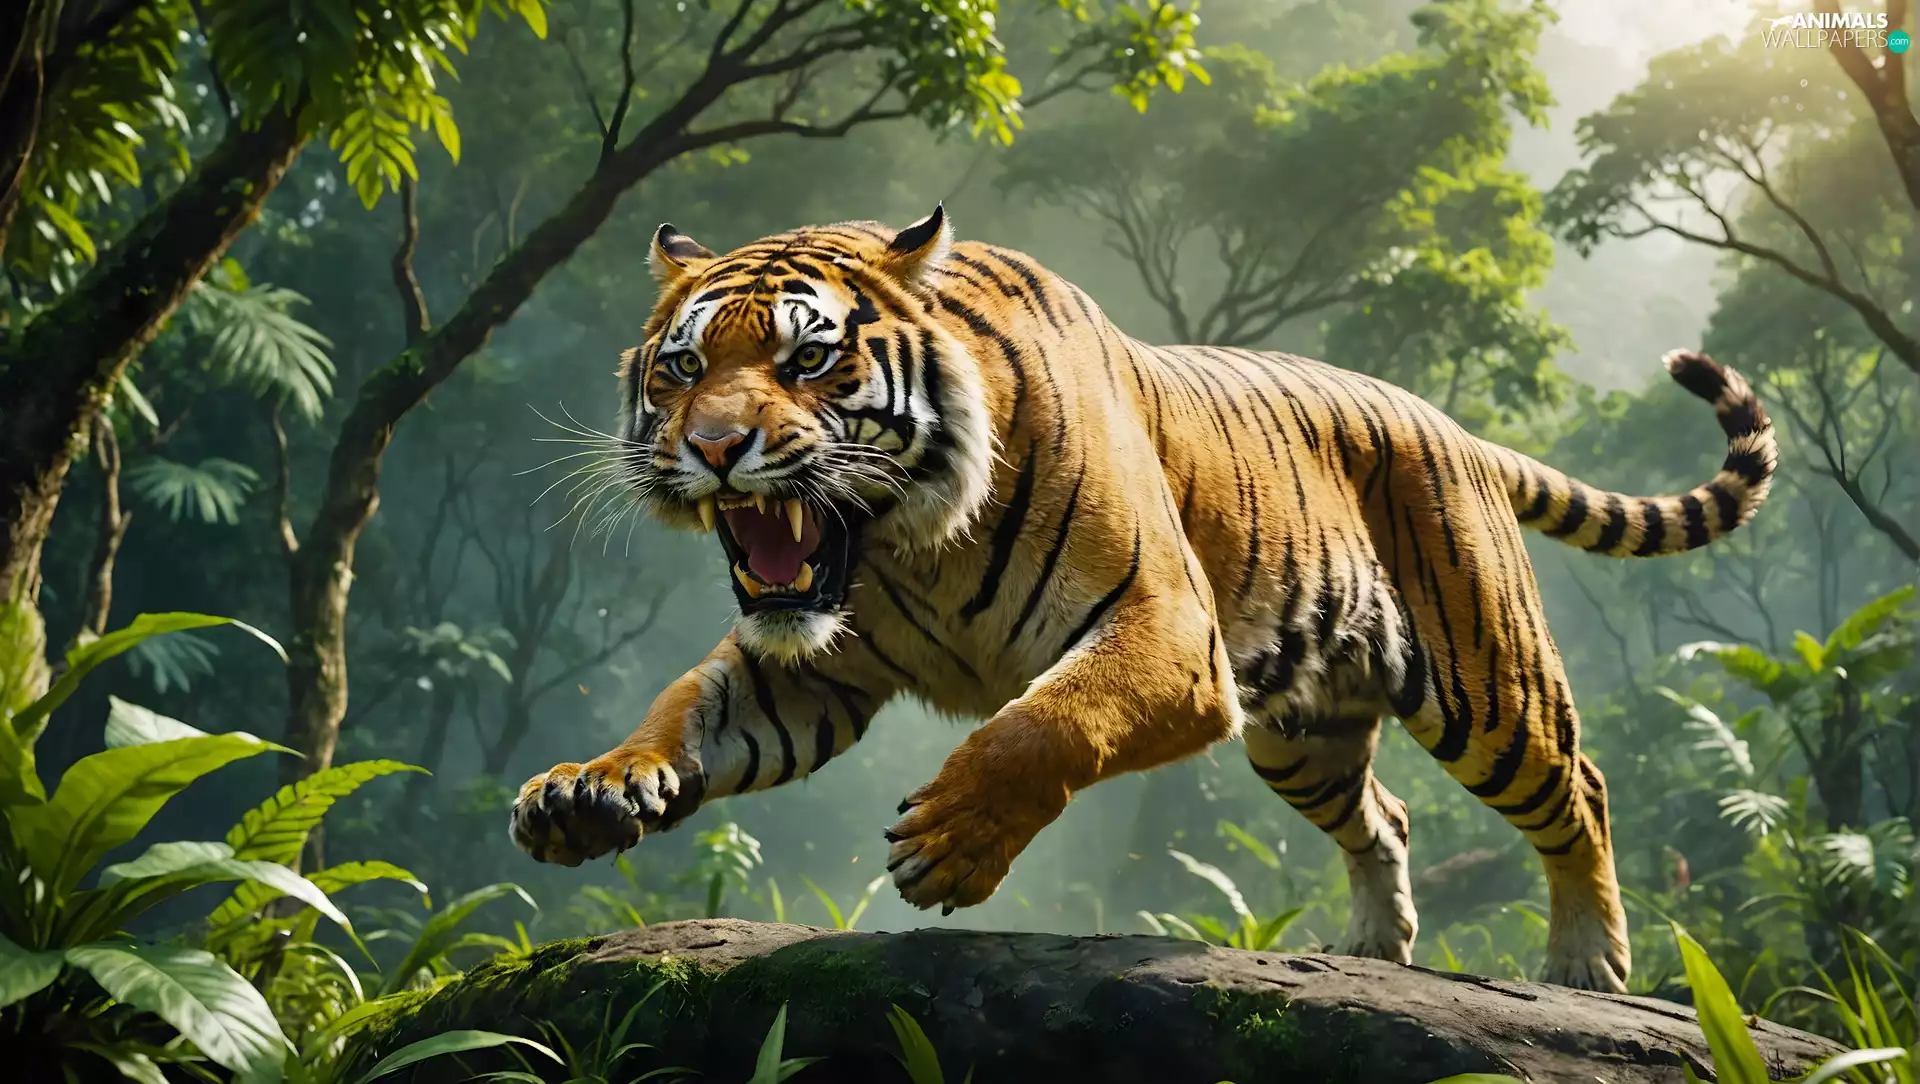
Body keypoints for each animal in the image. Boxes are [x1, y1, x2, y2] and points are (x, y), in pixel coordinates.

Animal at [508, 204, 1776, 992]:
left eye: (806, 360)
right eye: (682, 366)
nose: (714, 448)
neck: (907, 544)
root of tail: (1453, 427)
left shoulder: (1167, 629)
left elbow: (1042, 725)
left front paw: (949, 848)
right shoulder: (808, 666)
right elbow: (689, 708)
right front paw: (591, 789)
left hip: (1485, 683)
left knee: (1580, 788)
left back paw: (1587, 962)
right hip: (1303, 736)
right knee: (1389, 818)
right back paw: (1372, 951)